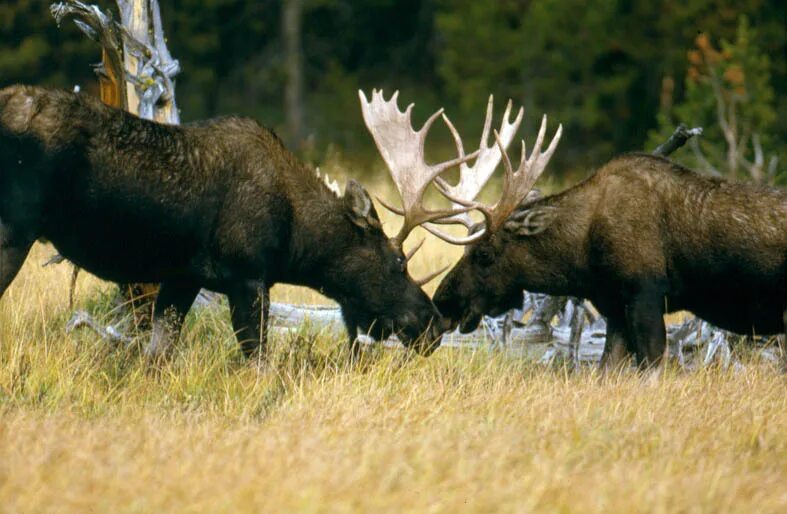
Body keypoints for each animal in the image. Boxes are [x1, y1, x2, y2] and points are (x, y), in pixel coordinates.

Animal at [0, 85, 458, 356]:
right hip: (14, 230)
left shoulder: (183, 277)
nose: (433, 322)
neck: (296, 238)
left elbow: (157, 356)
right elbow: (257, 360)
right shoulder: (248, 275)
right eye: (399, 262)